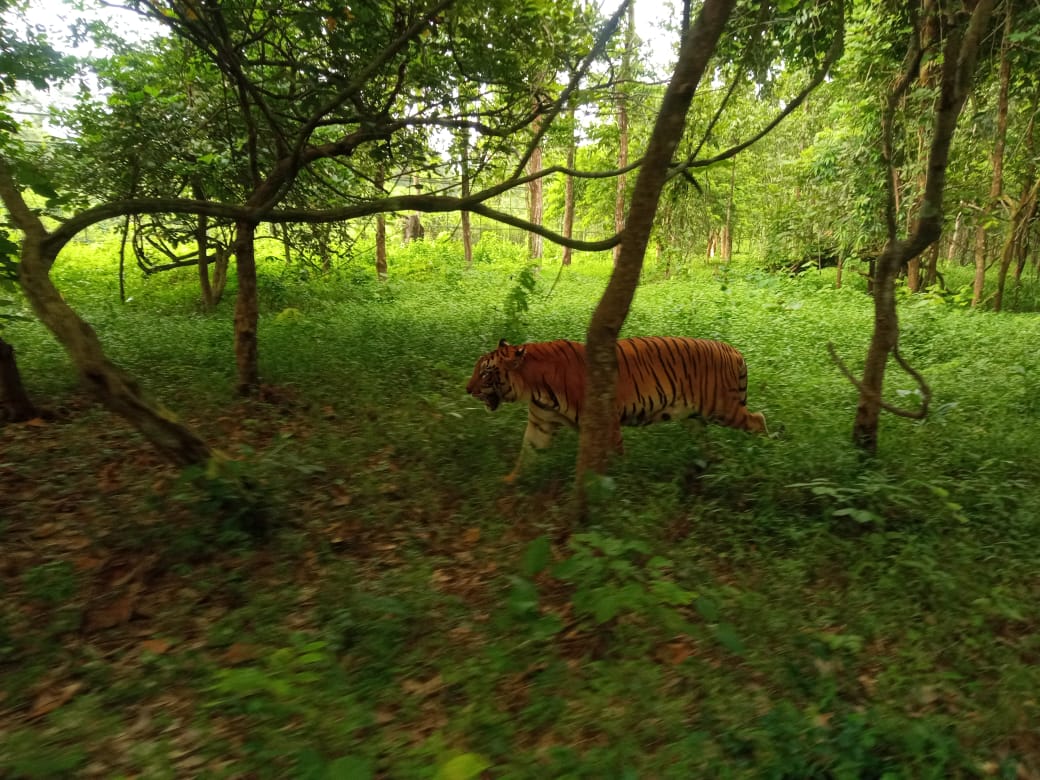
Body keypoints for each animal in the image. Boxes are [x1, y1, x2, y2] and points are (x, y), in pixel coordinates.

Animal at [467, 336, 769, 482]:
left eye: (485, 373)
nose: (467, 389)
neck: (534, 386)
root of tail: (735, 351)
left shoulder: (607, 420)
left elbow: (614, 458)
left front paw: (614, 490)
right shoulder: (540, 424)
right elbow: (526, 454)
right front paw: (509, 481)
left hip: (723, 409)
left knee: (759, 420)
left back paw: (767, 455)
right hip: (694, 417)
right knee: (709, 441)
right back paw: (709, 464)